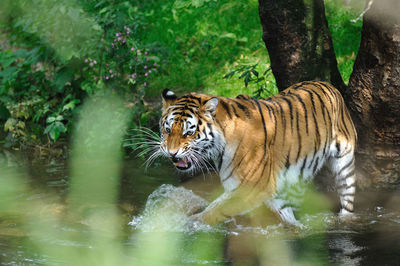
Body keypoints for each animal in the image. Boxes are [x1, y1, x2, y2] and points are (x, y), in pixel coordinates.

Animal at [158, 81, 358, 227]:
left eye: (189, 133)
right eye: (167, 130)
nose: (171, 152)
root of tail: (327, 84)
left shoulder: (252, 187)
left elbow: (217, 209)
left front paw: (192, 223)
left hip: (344, 163)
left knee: (348, 199)